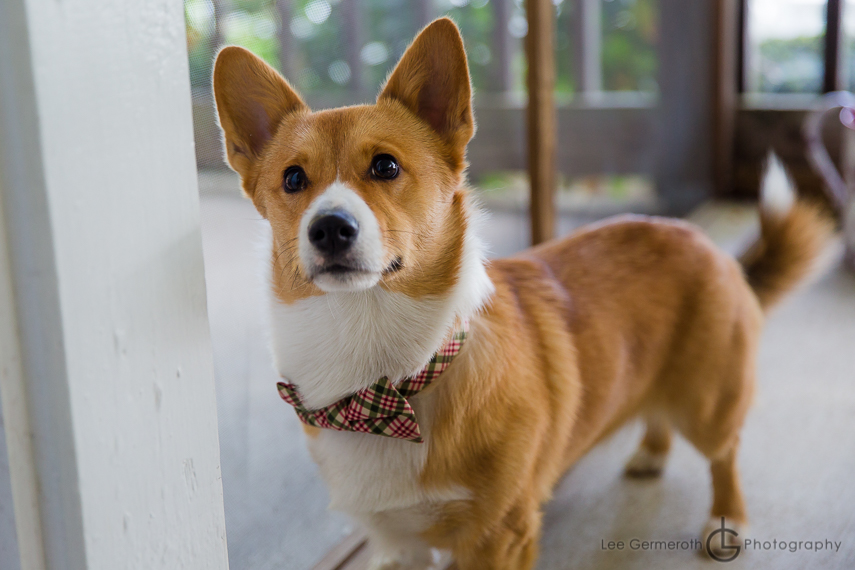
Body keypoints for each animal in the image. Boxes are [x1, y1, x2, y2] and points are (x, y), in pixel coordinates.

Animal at [212, 17, 828, 568]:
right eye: (293, 179)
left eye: (385, 166)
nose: (329, 228)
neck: (383, 385)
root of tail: (704, 241)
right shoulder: (397, 543)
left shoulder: (498, 537)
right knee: (655, 413)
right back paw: (650, 455)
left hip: (709, 400)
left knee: (725, 453)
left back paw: (727, 520)